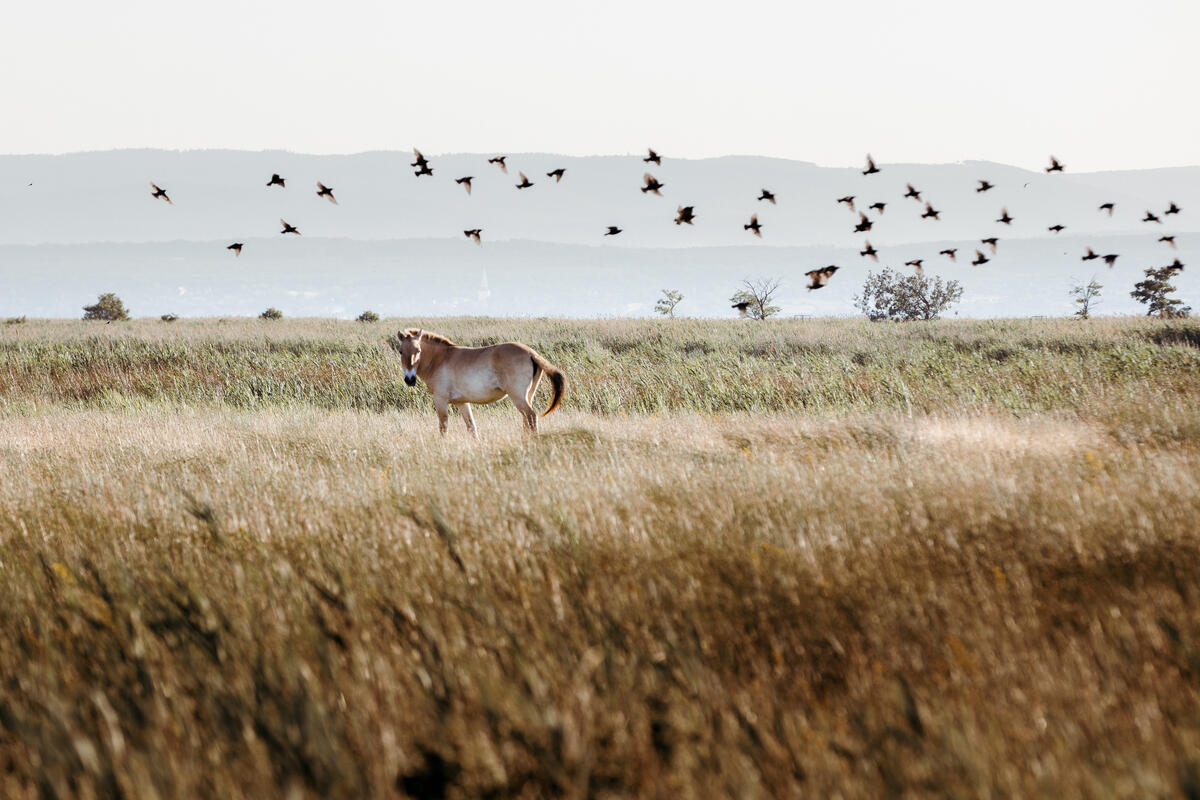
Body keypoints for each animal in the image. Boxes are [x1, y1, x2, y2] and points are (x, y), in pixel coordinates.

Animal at [393, 326, 561, 434]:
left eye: (418, 350)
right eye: (401, 351)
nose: (409, 379)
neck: (439, 360)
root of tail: (532, 353)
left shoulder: (440, 400)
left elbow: (443, 427)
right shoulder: (462, 403)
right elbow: (471, 427)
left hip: (518, 397)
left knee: (531, 417)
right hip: (527, 396)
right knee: (527, 420)